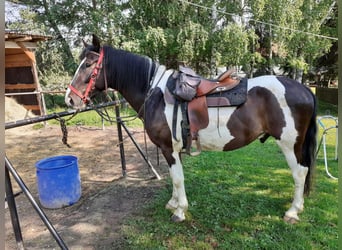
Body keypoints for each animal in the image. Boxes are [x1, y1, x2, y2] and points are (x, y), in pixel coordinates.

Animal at [65, 34, 316, 223]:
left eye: (88, 64)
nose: (70, 99)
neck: (154, 93)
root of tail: (304, 89)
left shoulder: (169, 147)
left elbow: (177, 178)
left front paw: (179, 211)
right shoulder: (172, 150)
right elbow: (175, 176)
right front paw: (173, 203)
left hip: (289, 144)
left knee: (299, 172)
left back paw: (293, 212)